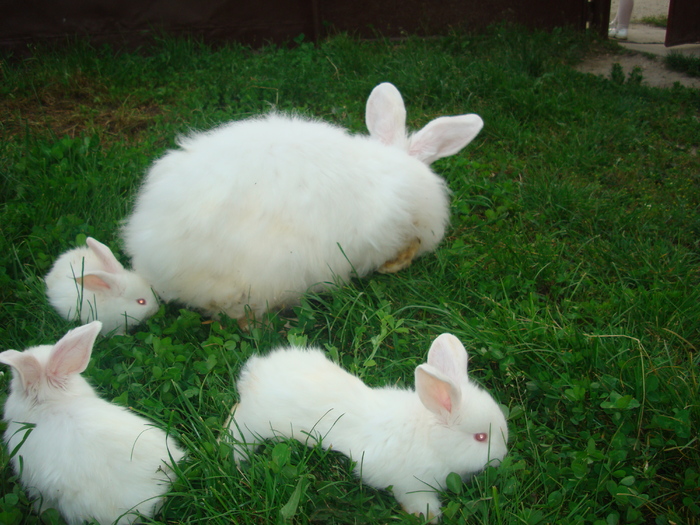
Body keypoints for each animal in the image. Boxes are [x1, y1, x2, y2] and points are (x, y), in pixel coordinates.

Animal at [230, 332, 508, 520]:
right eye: (480, 437)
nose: (502, 456)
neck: (431, 439)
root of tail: (254, 374)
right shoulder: (410, 485)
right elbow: (419, 501)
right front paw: (429, 516)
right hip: (255, 424)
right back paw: (239, 460)